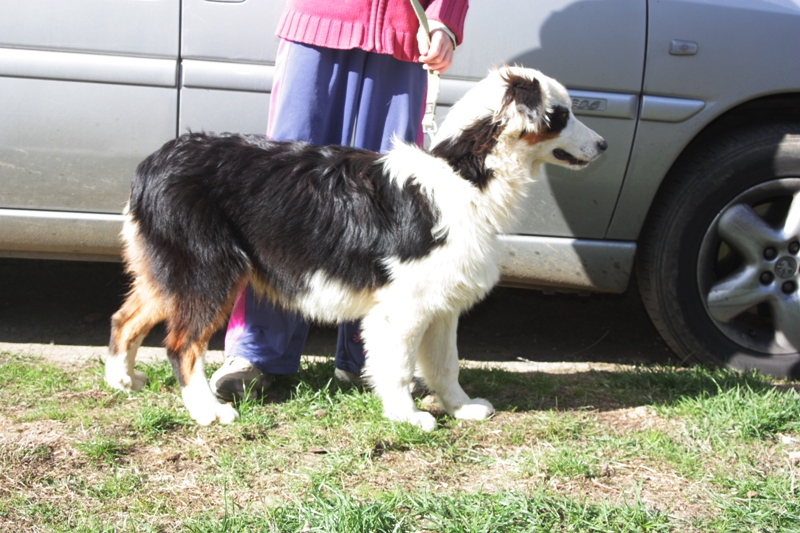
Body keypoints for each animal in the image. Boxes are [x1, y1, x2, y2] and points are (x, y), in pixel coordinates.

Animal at [106, 65, 608, 428]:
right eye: (561, 115)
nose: (604, 144)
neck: (465, 174)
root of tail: (155, 160)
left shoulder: (443, 304)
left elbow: (445, 365)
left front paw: (460, 408)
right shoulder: (404, 307)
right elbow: (400, 367)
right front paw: (407, 417)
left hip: (167, 274)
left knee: (124, 319)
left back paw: (122, 379)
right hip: (208, 273)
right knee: (182, 346)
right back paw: (208, 411)